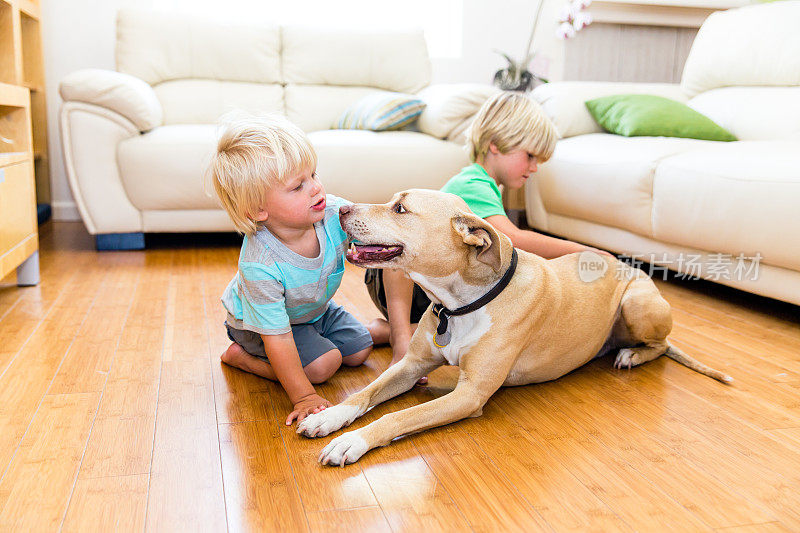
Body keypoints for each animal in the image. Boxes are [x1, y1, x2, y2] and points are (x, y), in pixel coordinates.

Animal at [296, 189, 732, 464]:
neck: (461, 304)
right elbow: (365, 393)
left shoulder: (468, 395)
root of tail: (630, 267)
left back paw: (631, 354)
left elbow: (396, 417)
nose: (341, 210)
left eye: (400, 209)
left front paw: (352, 441)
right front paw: (327, 417)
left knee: (660, 344)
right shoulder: (410, 365)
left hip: (636, 304)